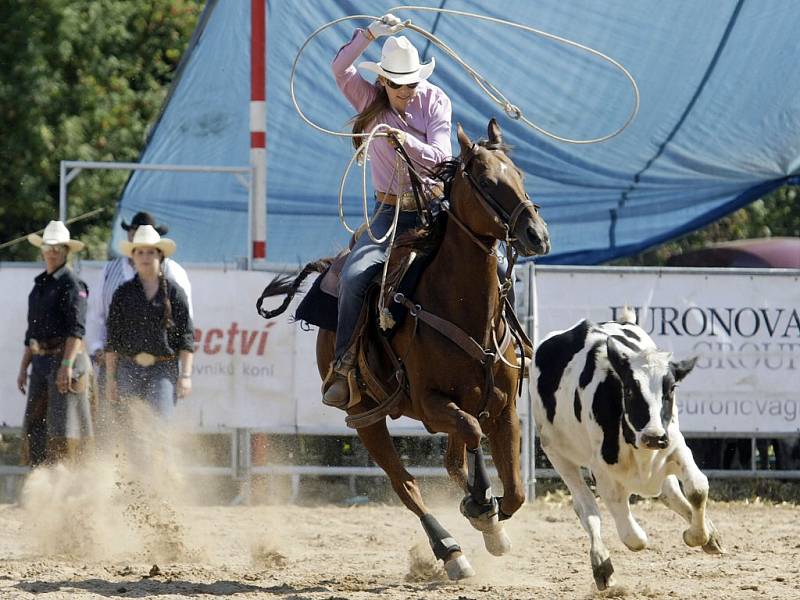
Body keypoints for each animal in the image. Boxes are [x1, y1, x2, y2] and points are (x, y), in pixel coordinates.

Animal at [260, 119, 548, 580]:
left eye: (519, 175)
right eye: (486, 181)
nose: (536, 235)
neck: (462, 307)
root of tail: (329, 270)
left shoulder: (503, 409)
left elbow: (516, 491)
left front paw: (489, 515)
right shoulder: (431, 403)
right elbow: (471, 433)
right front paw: (480, 506)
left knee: (452, 462)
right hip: (364, 416)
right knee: (406, 483)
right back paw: (450, 550)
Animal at [532, 310, 724, 592]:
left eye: (671, 389)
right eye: (630, 390)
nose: (653, 436)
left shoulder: (675, 446)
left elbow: (697, 488)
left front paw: (698, 535)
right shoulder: (602, 473)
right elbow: (633, 536)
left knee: (670, 493)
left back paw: (709, 534)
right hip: (557, 453)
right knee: (587, 509)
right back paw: (601, 564)